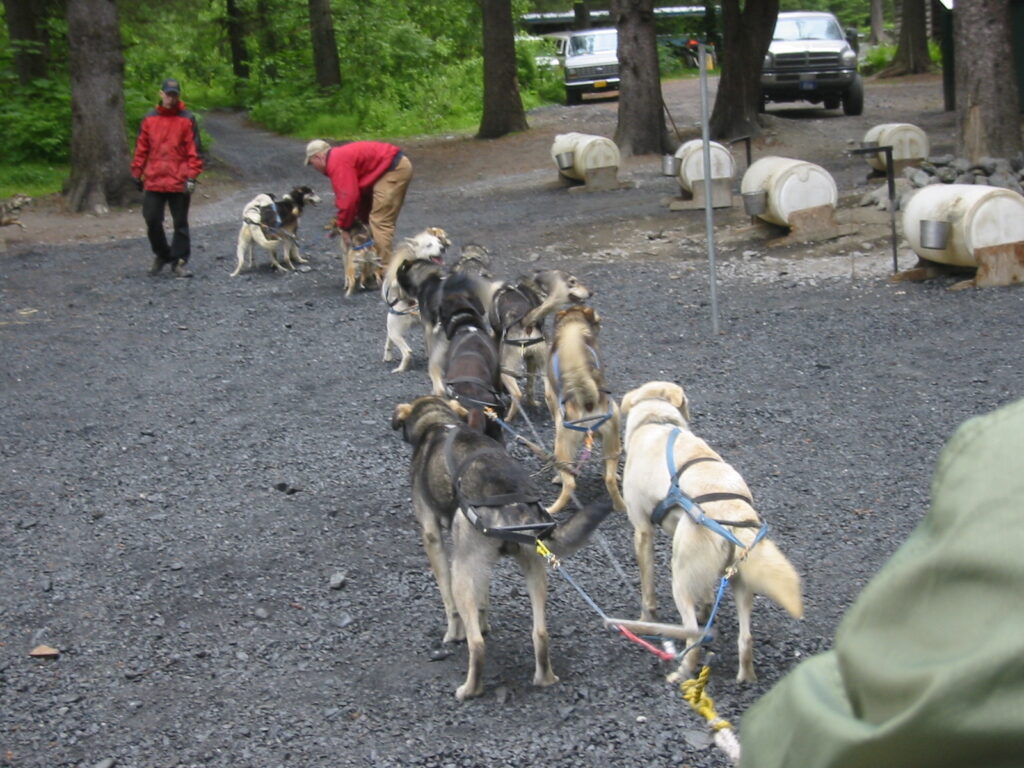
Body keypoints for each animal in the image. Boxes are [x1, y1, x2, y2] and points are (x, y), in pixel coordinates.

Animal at [544, 307, 622, 518]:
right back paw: (620, 505)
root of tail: (588, 401)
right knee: (609, 478)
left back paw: (552, 507)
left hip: (562, 446)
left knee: (570, 484)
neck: (573, 323)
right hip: (612, 441)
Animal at [618, 382, 802, 684]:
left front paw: (645, 620)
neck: (657, 421)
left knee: (694, 636)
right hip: (740, 585)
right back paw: (746, 677)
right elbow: (706, 594)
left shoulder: (642, 531)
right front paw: (706, 609)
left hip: (679, 580)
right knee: (745, 638)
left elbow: (647, 591)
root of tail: (732, 519)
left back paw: (681, 673)